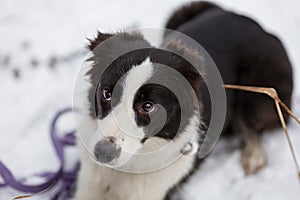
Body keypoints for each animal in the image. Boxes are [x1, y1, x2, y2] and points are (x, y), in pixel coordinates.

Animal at [72, 1, 292, 200]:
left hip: (257, 90)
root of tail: (240, 17)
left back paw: (254, 158)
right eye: (107, 94)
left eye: (148, 106)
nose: (102, 153)